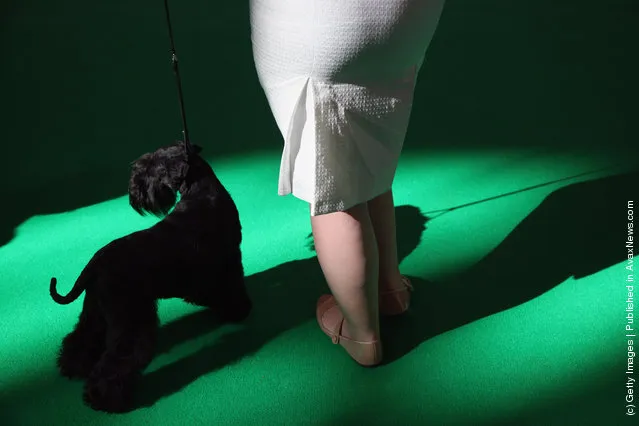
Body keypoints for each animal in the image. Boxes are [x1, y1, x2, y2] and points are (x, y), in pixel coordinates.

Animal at [50, 142, 251, 412]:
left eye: (149, 170)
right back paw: (106, 398)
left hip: (95, 311)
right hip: (130, 318)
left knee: (82, 338)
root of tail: (95, 263)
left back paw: (71, 366)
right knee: (118, 360)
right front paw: (239, 310)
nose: (133, 194)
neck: (201, 191)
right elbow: (232, 288)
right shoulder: (228, 262)